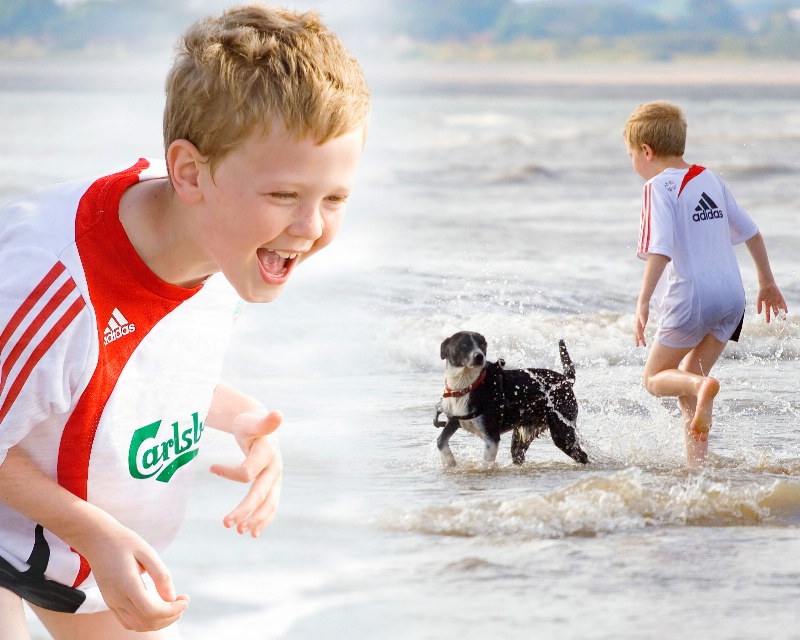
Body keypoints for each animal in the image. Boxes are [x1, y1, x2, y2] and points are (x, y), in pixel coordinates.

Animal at [438, 332, 588, 468]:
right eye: (463, 345)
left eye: (482, 345)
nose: (479, 356)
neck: (468, 385)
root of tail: (566, 380)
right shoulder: (454, 419)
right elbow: (440, 441)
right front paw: (450, 462)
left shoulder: (491, 436)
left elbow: (486, 463)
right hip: (522, 434)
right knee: (518, 453)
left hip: (562, 430)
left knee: (581, 455)